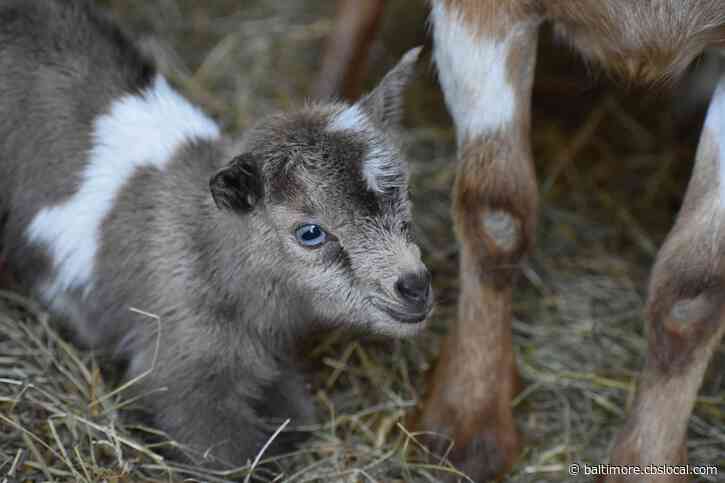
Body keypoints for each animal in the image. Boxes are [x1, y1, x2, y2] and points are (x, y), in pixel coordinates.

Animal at [0, 0, 430, 467]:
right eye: (310, 232)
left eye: (404, 193)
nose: (415, 286)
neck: (207, 245)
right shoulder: (183, 367)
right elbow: (231, 458)